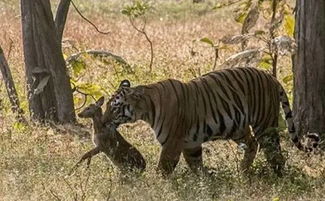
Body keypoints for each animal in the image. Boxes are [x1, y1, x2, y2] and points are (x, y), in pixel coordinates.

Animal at [102, 66, 318, 176]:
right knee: (252, 144)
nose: (103, 122)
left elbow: (163, 169)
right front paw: (204, 183)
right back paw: (242, 173)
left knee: (275, 153)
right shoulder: (191, 144)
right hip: (236, 127)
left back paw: (277, 177)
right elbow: (197, 165)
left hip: (264, 125)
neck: (147, 109)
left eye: (115, 107)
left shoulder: (172, 144)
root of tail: (270, 76)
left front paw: (155, 187)